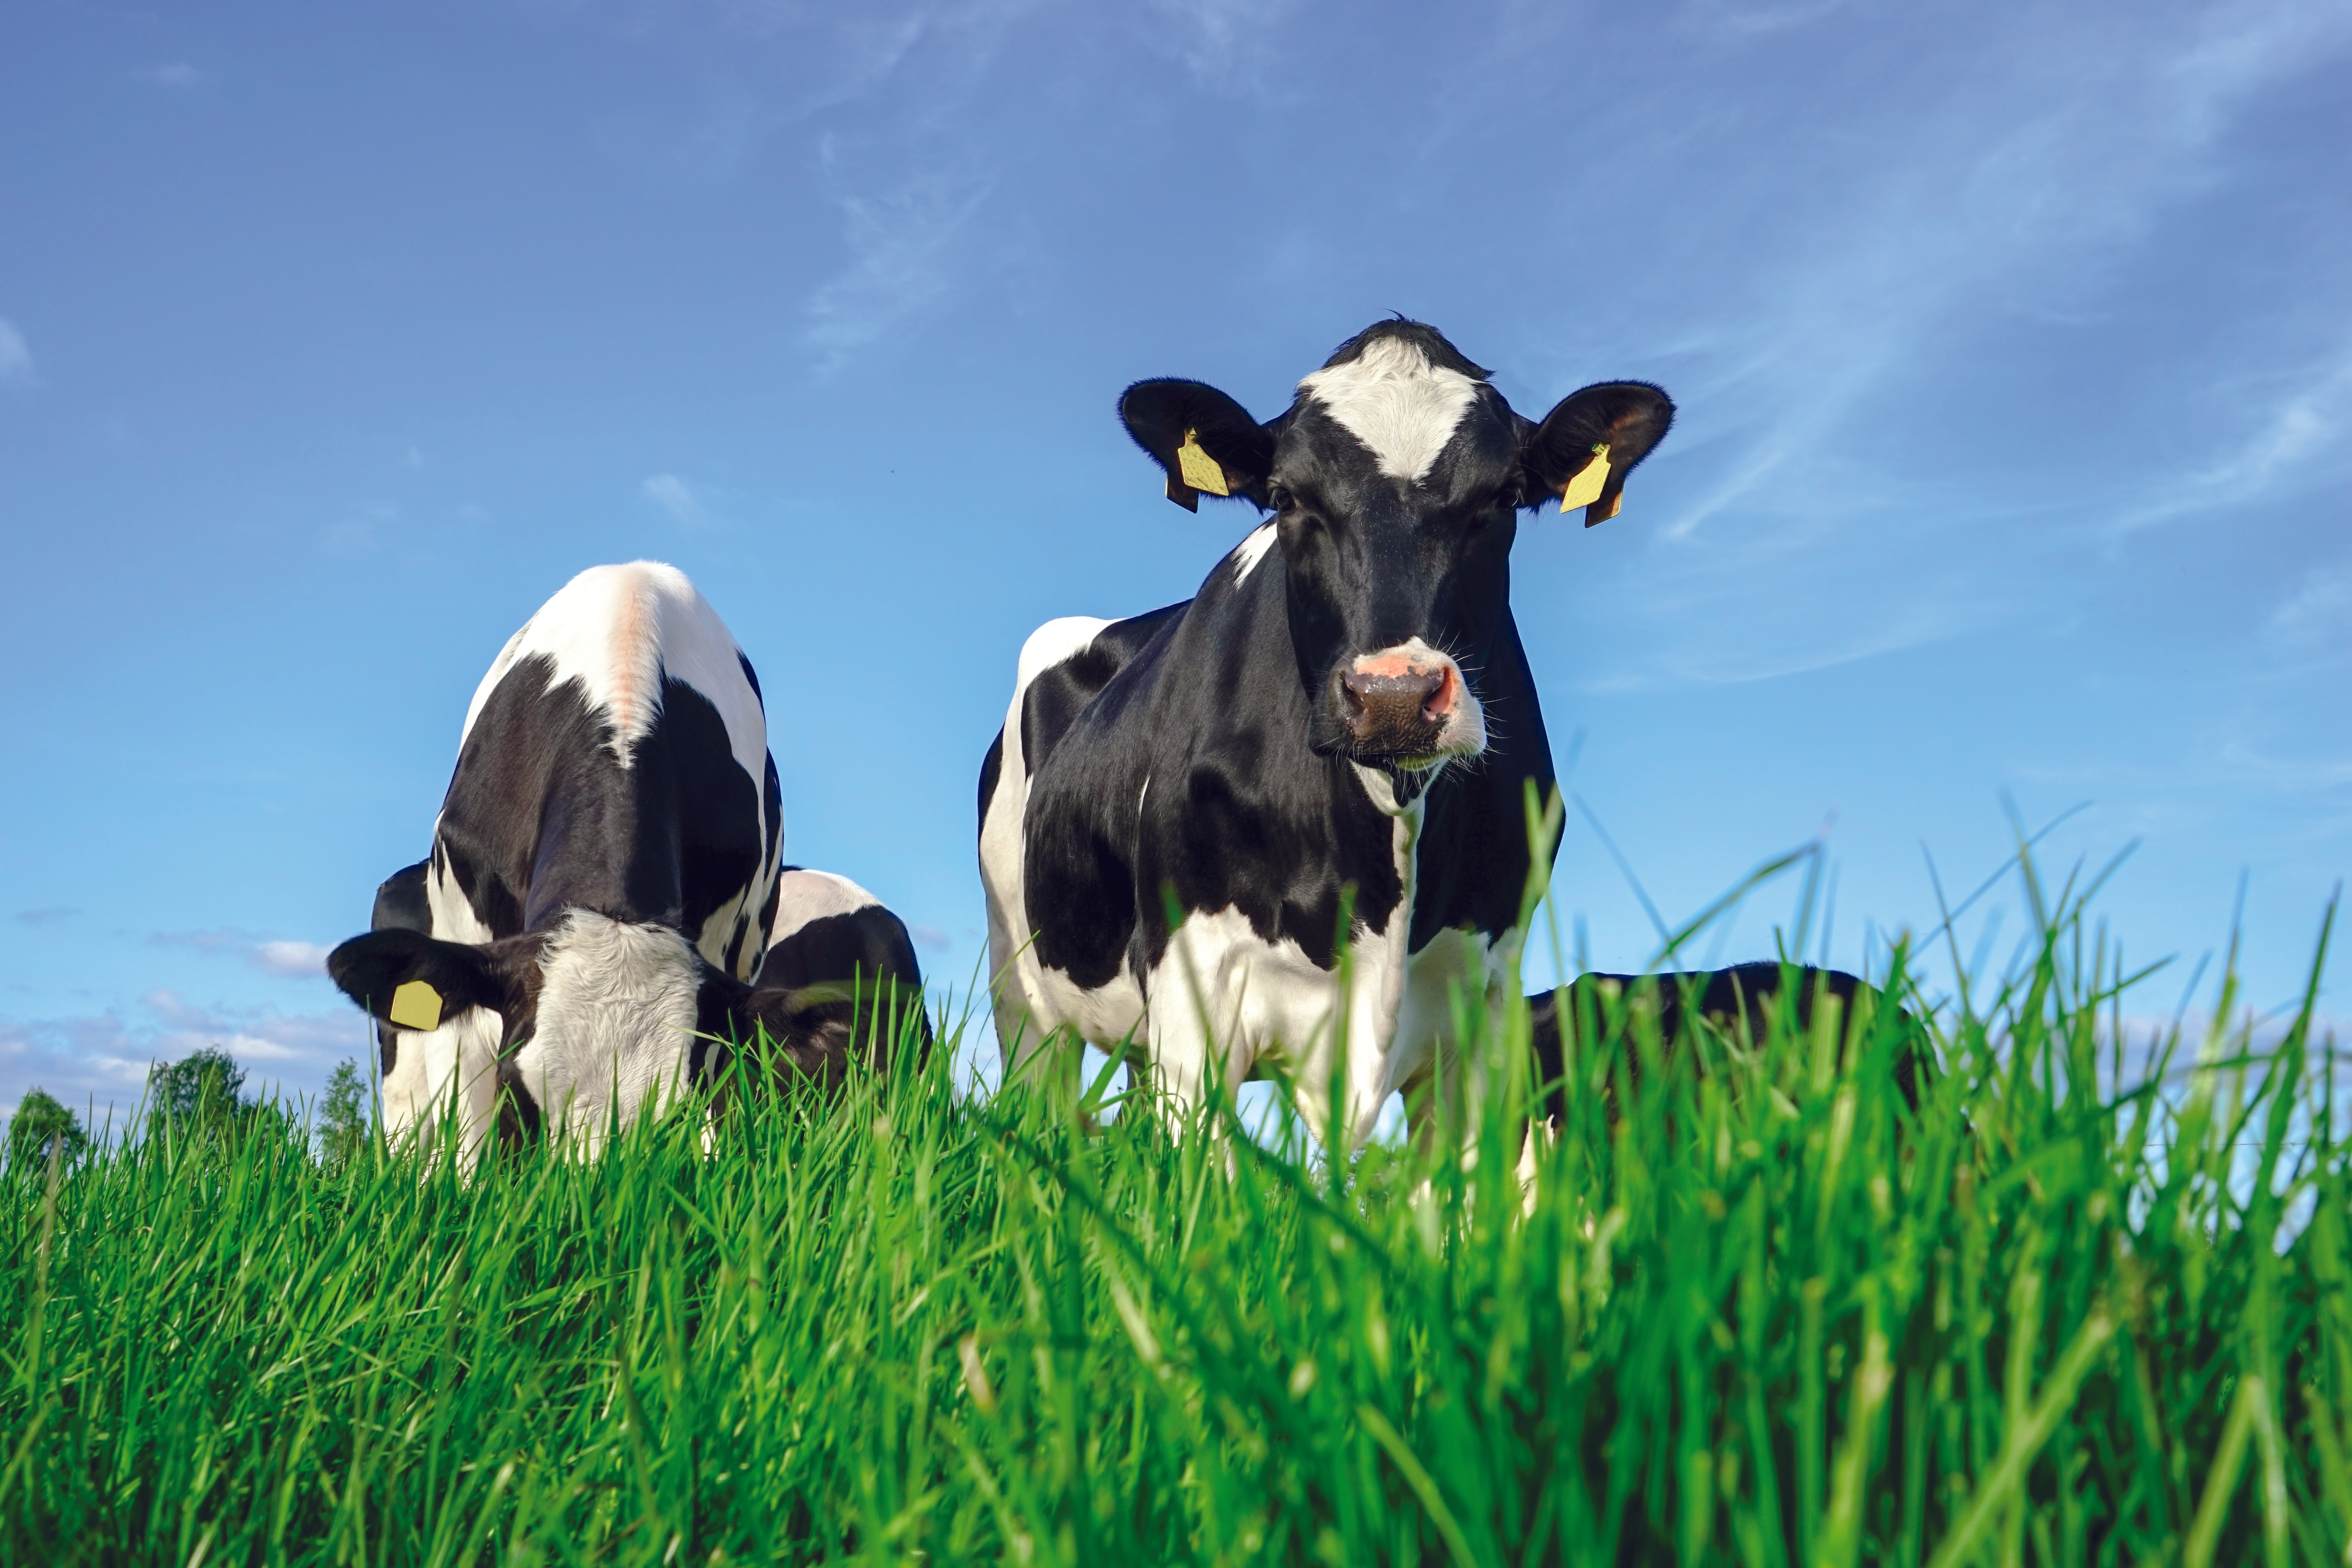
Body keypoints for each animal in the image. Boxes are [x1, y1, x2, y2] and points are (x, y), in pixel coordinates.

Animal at [979, 319, 1674, 1147]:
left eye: (1503, 495)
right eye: (1286, 497)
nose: (1395, 694)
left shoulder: (1485, 1002)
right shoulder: (1194, 988)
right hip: (1024, 994)